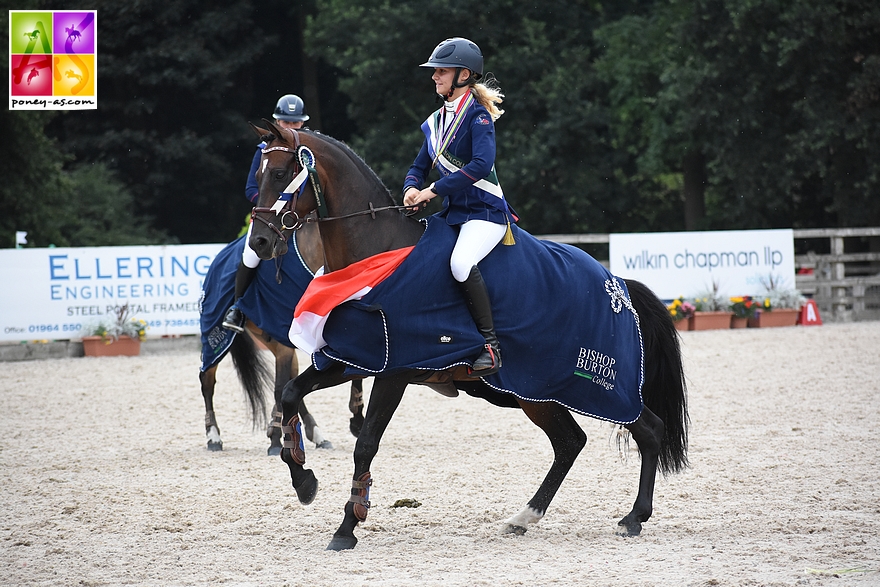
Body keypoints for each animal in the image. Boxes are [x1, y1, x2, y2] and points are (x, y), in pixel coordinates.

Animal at [199, 219, 364, 454]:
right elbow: (279, 387)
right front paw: (276, 438)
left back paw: (316, 434)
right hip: (215, 335)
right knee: (207, 381)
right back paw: (213, 437)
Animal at [246, 123, 688, 552]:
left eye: (281, 174)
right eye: (259, 174)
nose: (259, 242)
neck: (378, 254)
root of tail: (617, 284)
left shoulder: (395, 371)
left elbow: (366, 443)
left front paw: (347, 526)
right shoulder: (352, 359)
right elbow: (291, 395)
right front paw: (304, 481)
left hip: (594, 387)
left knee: (647, 429)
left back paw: (634, 518)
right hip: (538, 393)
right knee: (570, 442)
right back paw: (524, 518)